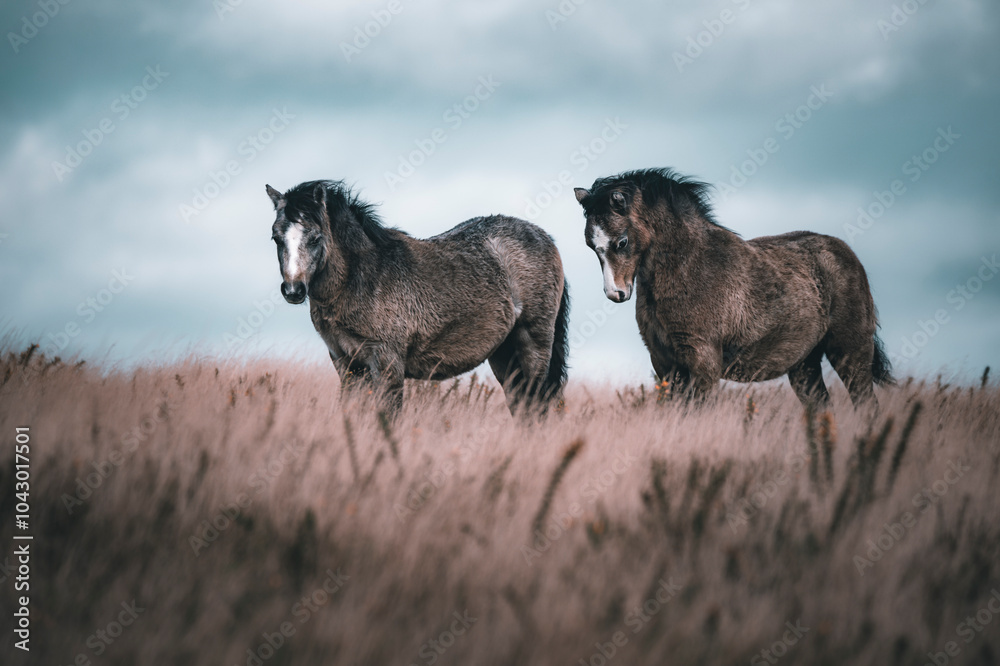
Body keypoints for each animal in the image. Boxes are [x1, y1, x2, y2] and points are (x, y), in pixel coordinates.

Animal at [265, 180, 570, 418]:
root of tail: (546, 238)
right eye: (276, 238)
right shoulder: (346, 364)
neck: (363, 277)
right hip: (504, 353)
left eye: (316, 238)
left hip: (534, 344)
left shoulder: (387, 363)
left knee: (538, 404)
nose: (293, 290)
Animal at [573, 168, 893, 409]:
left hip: (850, 351)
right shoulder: (665, 363)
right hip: (805, 364)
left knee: (866, 404)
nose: (616, 293)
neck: (689, 267)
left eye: (622, 241)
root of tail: (848, 255)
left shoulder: (703, 362)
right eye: (590, 244)